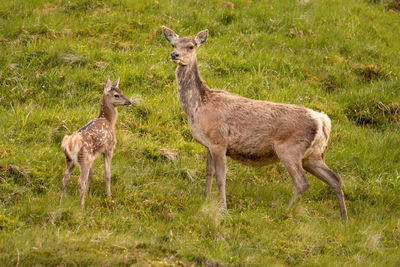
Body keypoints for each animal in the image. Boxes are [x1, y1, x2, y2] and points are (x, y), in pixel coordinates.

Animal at [60, 77, 131, 207]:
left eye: (122, 91)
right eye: (116, 95)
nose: (129, 102)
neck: (108, 120)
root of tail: (70, 143)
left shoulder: (93, 156)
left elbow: (91, 174)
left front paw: (88, 194)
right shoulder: (109, 149)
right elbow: (107, 174)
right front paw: (109, 197)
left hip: (70, 159)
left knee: (65, 177)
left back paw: (61, 202)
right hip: (84, 160)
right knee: (80, 181)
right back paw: (82, 206)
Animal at [162, 26, 346, 221]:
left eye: (191, 46)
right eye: (173, 44)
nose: (174, 54)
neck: (198, 107)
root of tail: (322, 120)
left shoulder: (219, 140)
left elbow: (221, 176)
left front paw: (223, 209)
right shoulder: (208, 144)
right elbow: (208, 172)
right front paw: (204, 201)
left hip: (290, 148)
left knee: (302, 182)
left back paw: (285, 211)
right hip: (313, 155)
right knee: (335, 178)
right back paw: (344, 219)